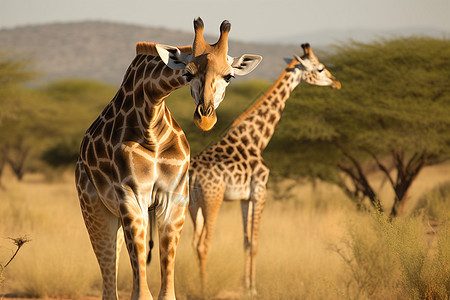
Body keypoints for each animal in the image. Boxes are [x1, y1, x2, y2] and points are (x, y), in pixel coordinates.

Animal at [75, 17, 262, 300]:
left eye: (229, 76)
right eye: (188, 73)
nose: (205, 118)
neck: (151, 125)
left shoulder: (175, 197)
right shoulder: (131, 195)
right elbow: (141, 288)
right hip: (95, 209)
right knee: (109, 282)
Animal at [187, 43, 342, 296]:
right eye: (320, 68)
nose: (336, 83)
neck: (258, 138)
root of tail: (192, 174)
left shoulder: (245, 197)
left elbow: (246, 242)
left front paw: (247, 285)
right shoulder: (261, 190)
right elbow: (256, 244)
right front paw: (253, 289)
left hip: (192, 204)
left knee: (192, 242)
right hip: (213, 198)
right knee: (203, 244)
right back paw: (204, 290)